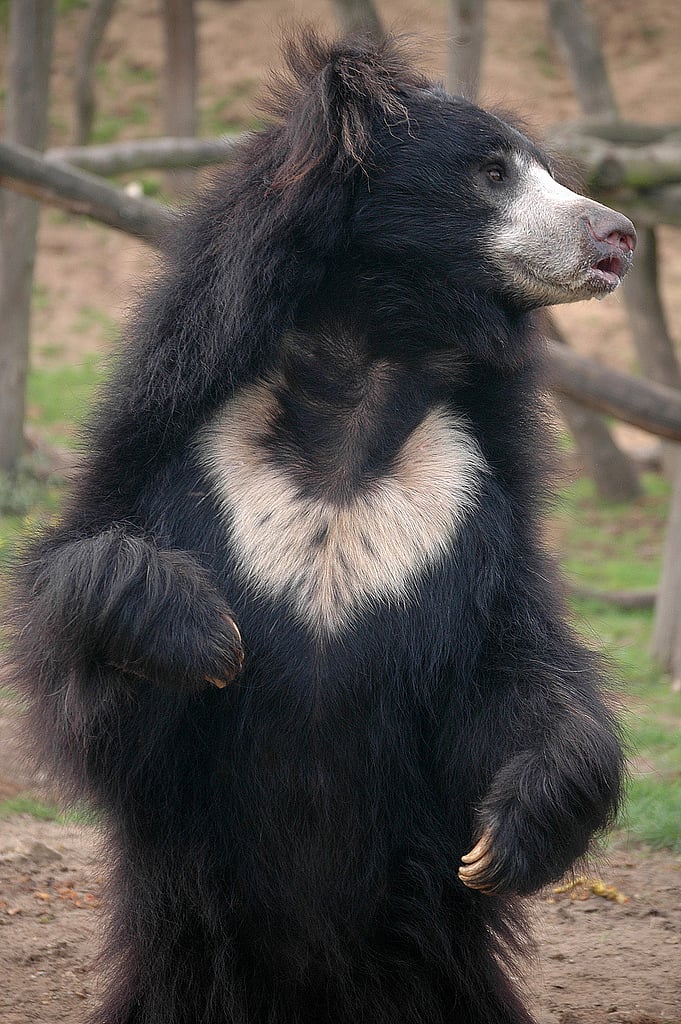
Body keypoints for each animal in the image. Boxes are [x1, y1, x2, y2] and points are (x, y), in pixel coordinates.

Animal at [11, 31, 634, 1024]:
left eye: (549, 171)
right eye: (491, 172)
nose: (616, 236)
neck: (362, 369)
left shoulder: (469, 502)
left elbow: (514, 669)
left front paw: (510, 834)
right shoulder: (182, 453)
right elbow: (95, 669)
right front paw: (203, 636)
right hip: (190, 956)